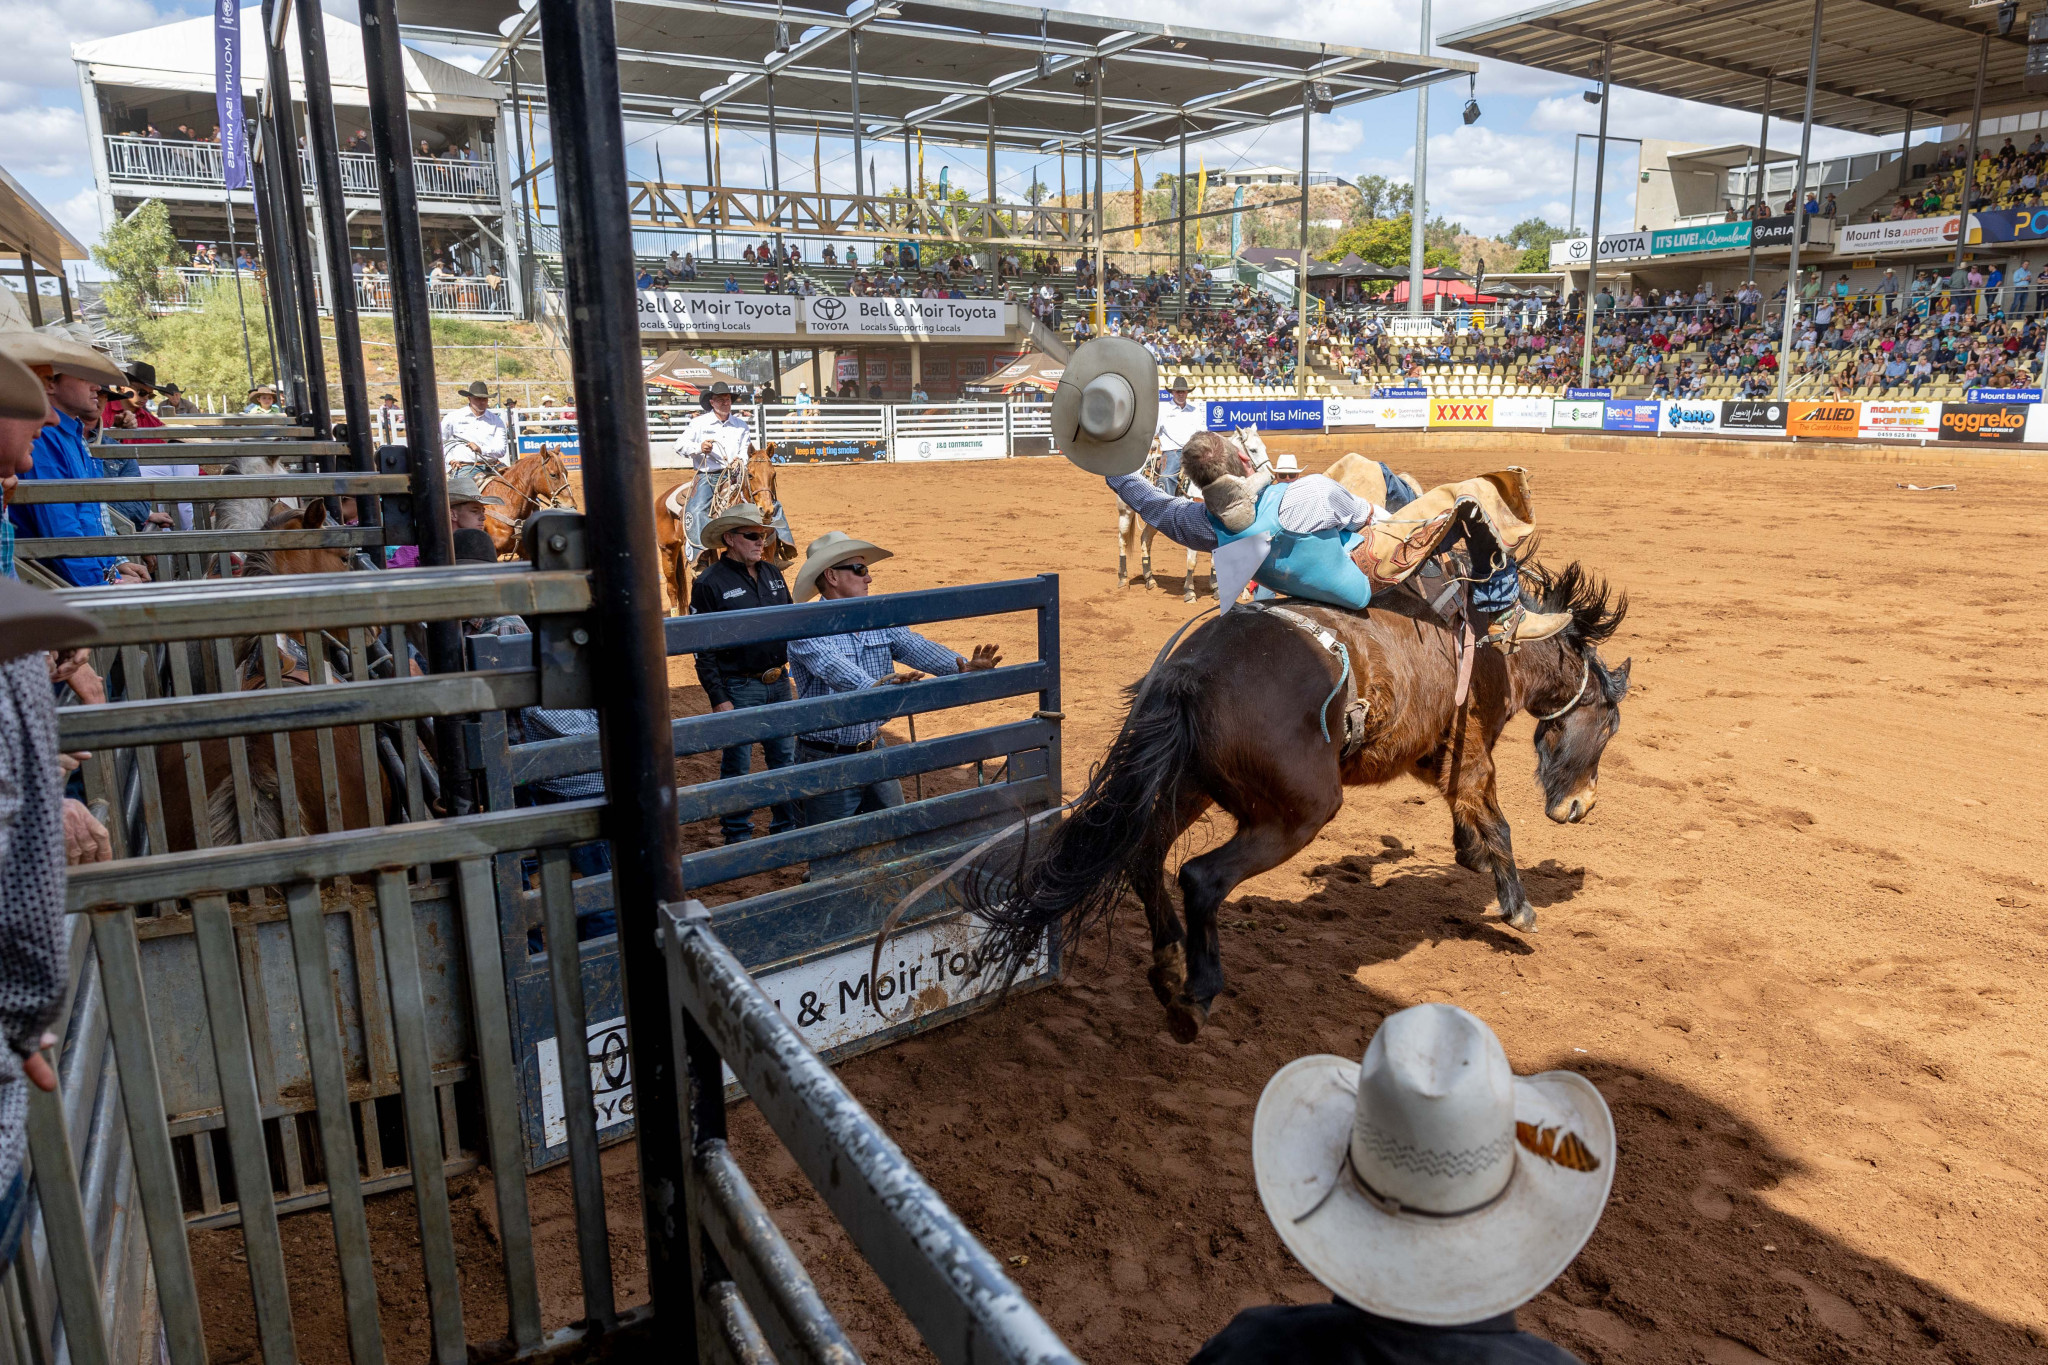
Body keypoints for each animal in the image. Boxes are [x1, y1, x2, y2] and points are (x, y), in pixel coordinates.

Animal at [655, 444, 790, 613]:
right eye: (750, 475)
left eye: (774, 474)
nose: (767, 510)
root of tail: (662, 497)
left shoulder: (767, 556)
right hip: (667, 550)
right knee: (672, 588)